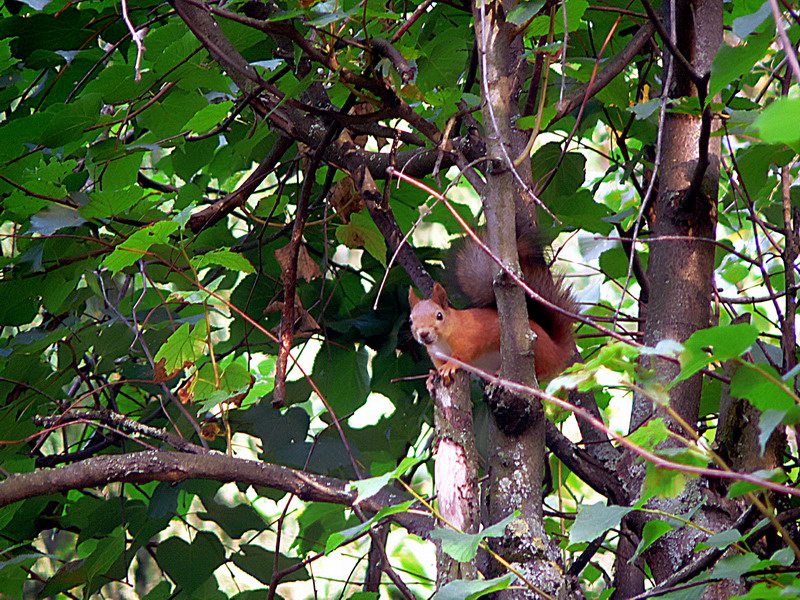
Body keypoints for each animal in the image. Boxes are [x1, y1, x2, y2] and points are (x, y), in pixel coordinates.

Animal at [408, 226, 576, 383]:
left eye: (439, 315)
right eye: (411, 320)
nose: (423, 334)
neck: (444, 338)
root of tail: (557, 351)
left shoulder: (468, 338)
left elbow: (463, 355)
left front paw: (450, 366)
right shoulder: (436, 355)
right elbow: (438, 365)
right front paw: (433, 375)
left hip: (540, 351)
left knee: (543, 370)